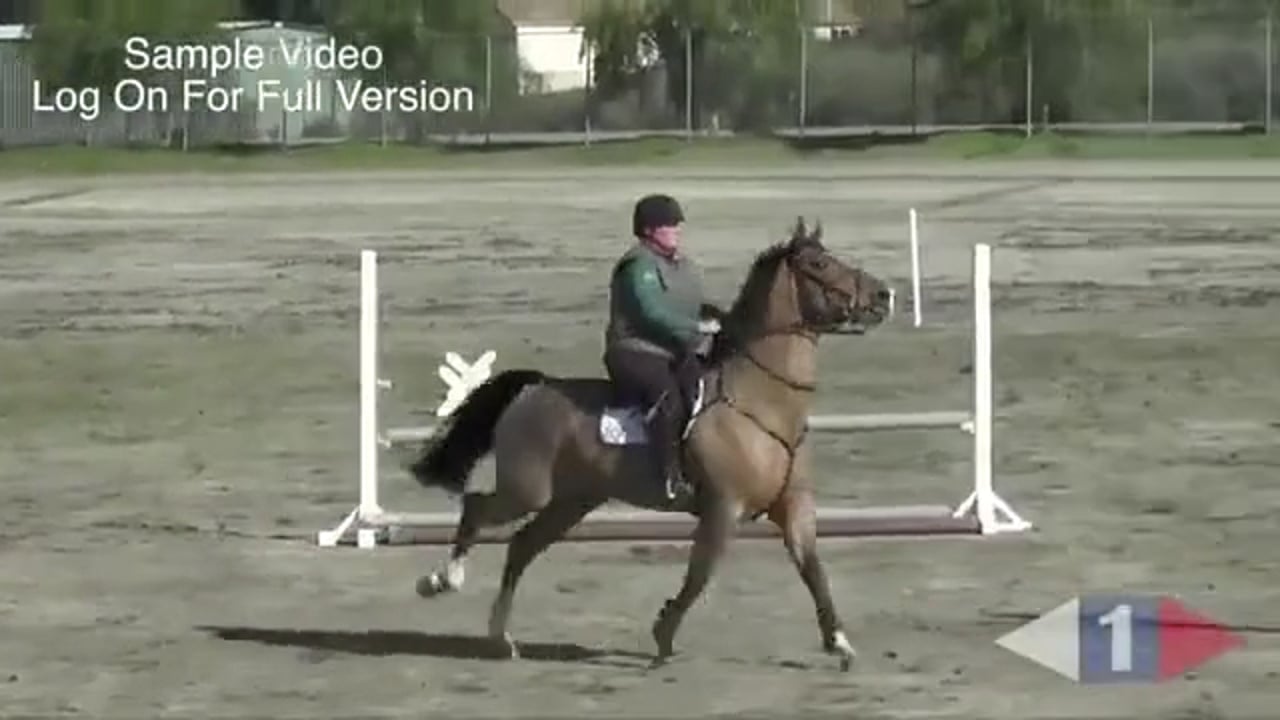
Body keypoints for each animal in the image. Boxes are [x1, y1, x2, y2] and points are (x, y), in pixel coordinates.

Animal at [405, 217, 892, 671]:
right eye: (819, 264)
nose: (884, 295)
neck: (761, 402)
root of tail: (535, 388)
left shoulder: (793, 507)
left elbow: (813, 570)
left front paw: (840, 643)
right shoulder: (723, 509)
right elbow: (700, 576)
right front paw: (662, 636)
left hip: (572, 502)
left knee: (521, 546)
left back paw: (500, 638)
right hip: (528, 491)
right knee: (476, 508)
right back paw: (442, 582)